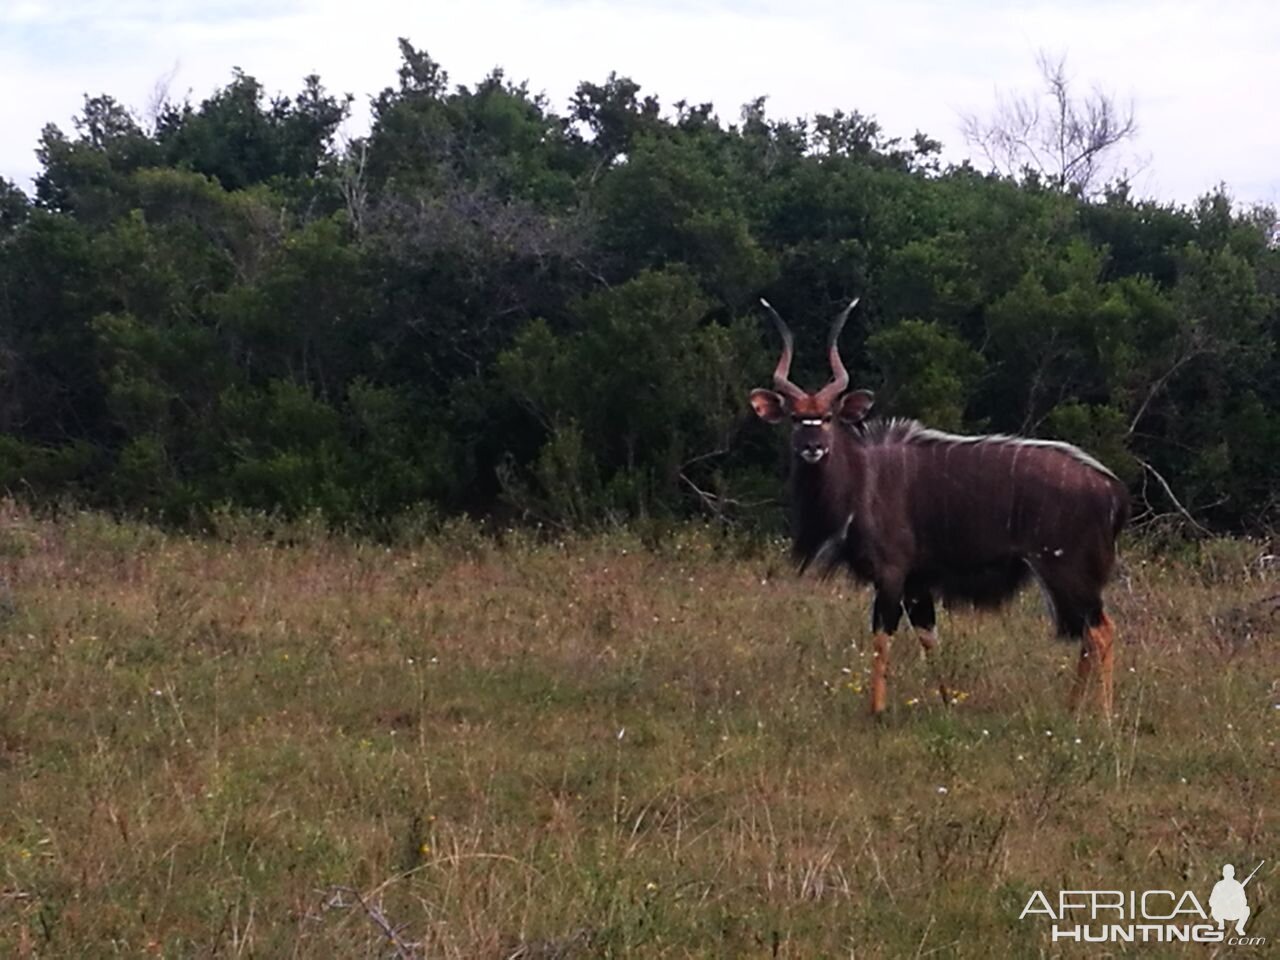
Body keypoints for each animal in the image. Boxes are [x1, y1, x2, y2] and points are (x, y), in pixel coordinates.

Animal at [747, 302, 1131, 721]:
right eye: (795, 418)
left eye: (828, 417)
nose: (813, 447)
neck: (862, 480)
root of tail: (1113, 490)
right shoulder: (918, 582)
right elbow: (929, 635)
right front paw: (947, 702)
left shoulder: (892, 573)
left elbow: (882, 636)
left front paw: (876, 710)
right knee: (1087, 633)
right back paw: (1070, 710)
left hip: (1065, 569)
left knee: (1101, 630)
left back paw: (1102, 717)